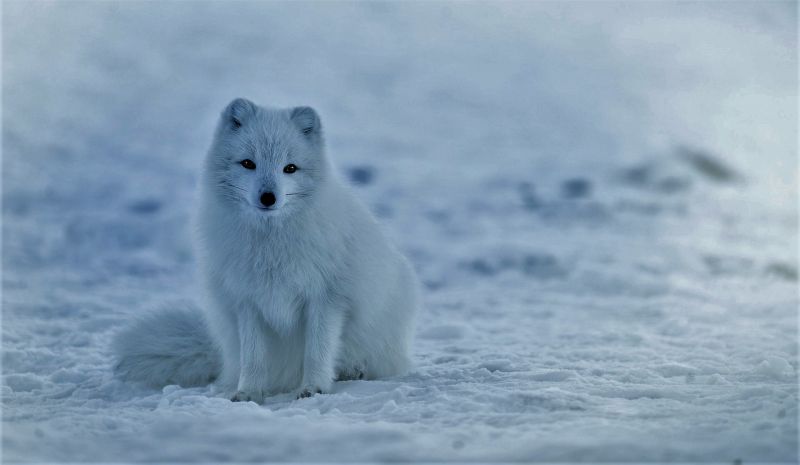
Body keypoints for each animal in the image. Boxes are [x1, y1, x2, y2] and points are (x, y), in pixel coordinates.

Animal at [113, 98, 419, 402]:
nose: (268, 197)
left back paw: (353, 370)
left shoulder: (326, 298)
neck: (271, 245)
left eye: (290, 168)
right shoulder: (247, 301)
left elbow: (317, 351)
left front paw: (314, 388)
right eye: (248, 163)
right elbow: (254, 357)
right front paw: (248, 392)